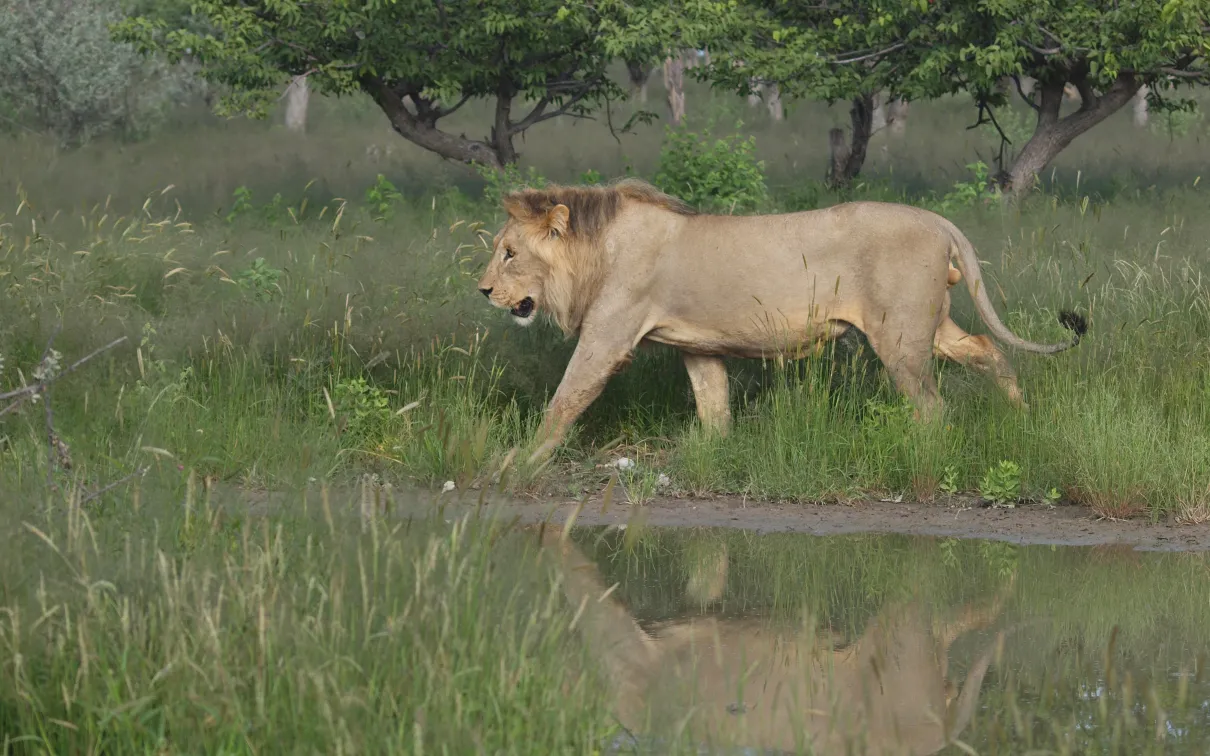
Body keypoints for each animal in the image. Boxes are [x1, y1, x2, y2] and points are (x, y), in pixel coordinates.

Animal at [477, 179, 1086, 465]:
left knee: (933, 408)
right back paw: (1022, 415)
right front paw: (712, 457)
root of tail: (938, 220)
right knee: (987, 348)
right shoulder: (698, 346)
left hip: (899, 338)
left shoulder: (607, 336)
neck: (594, 253)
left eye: (509, 253)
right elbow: (713, 405)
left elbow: (566, 399)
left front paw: (520, 460)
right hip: (930, 328)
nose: (482, 290)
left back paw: (917, 456)